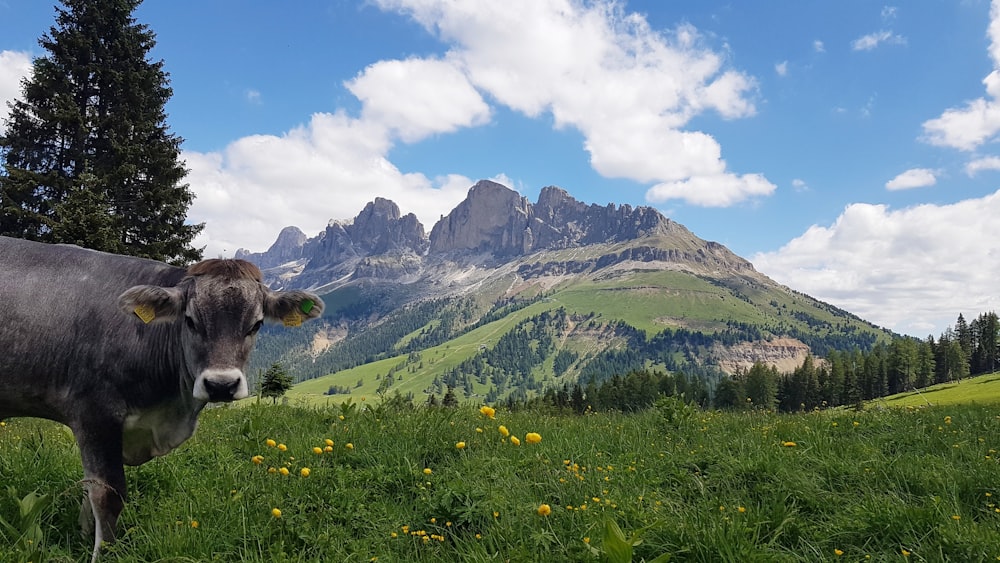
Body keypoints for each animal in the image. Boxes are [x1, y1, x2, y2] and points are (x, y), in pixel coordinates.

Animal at [0, 236, 322, 560]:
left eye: (256, 324)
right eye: (190, 321)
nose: (221, 385)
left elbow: (88, 487)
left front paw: (83, 535)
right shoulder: (94, 413)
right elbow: (106, 493)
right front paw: (103, 552)